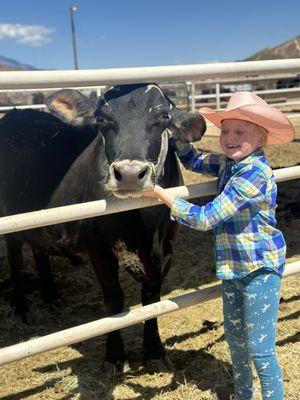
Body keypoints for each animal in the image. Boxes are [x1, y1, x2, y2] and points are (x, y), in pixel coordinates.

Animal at [0, 84, 206, 368]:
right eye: (101, 120)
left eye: (164, 116)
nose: (129, 174)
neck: (144, 228)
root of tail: (17, 113)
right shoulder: (99, 249)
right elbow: (114, 299)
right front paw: (115, 355)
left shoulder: (166, 249)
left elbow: (152, 298)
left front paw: (154, 350)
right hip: (11, 222)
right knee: (15, 260)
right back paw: (21, 306)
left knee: (40, 250)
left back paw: (51, 295)